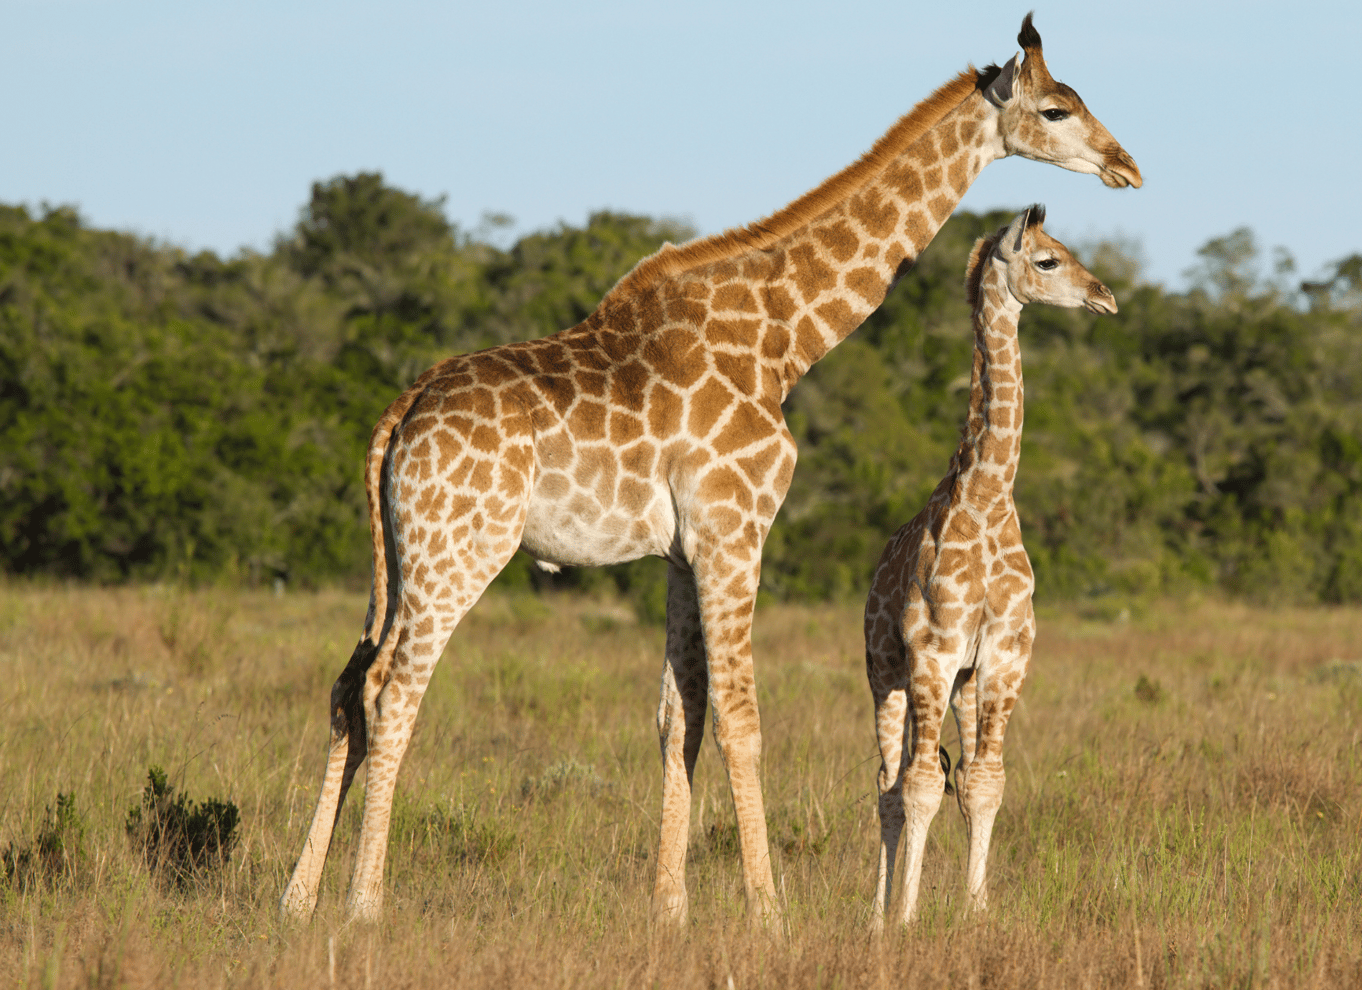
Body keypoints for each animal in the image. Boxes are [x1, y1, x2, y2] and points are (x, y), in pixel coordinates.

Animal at [871, 206, 1116, 931]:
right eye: (1047, 260)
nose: (1105, 296)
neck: (985, 497)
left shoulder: (1004, 657)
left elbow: (984, 783)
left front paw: (975, 911)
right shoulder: (931, 652)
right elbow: (920, 786)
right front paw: (906, 917)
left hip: (964, 684)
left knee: (941, 775)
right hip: (885, 672)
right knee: (888, 785)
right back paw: (875, 915)